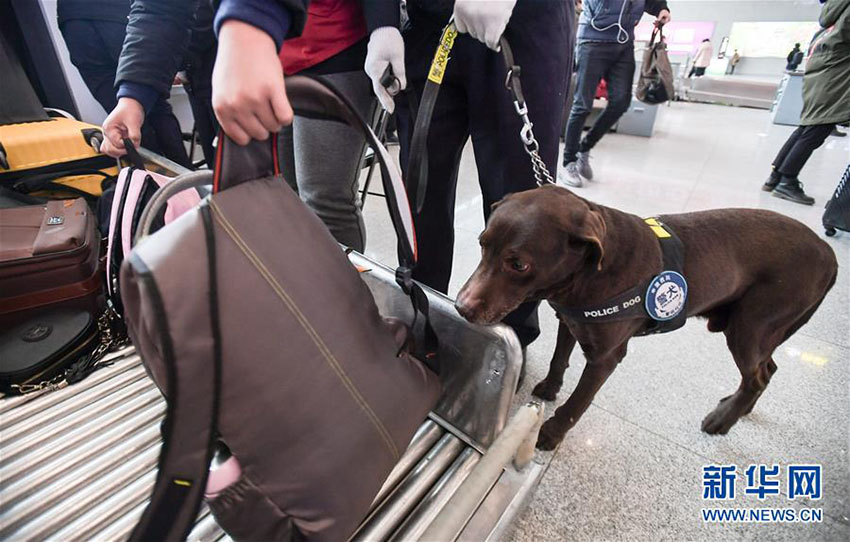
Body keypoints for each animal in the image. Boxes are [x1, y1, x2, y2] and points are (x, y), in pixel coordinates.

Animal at [458, 186, 836, 450]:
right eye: (482, 244)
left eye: (518, 264)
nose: (461, 308)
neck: (591, 272)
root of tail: (828, 254)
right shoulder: (570, 321)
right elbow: (558, 360)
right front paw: (550, 388)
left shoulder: (606, 357)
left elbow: (578, 401)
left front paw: (550, 433)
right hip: (763, 331)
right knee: (767, 370)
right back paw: (738, 408)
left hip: (750, 327)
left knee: (756, 377)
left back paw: (722, 420)